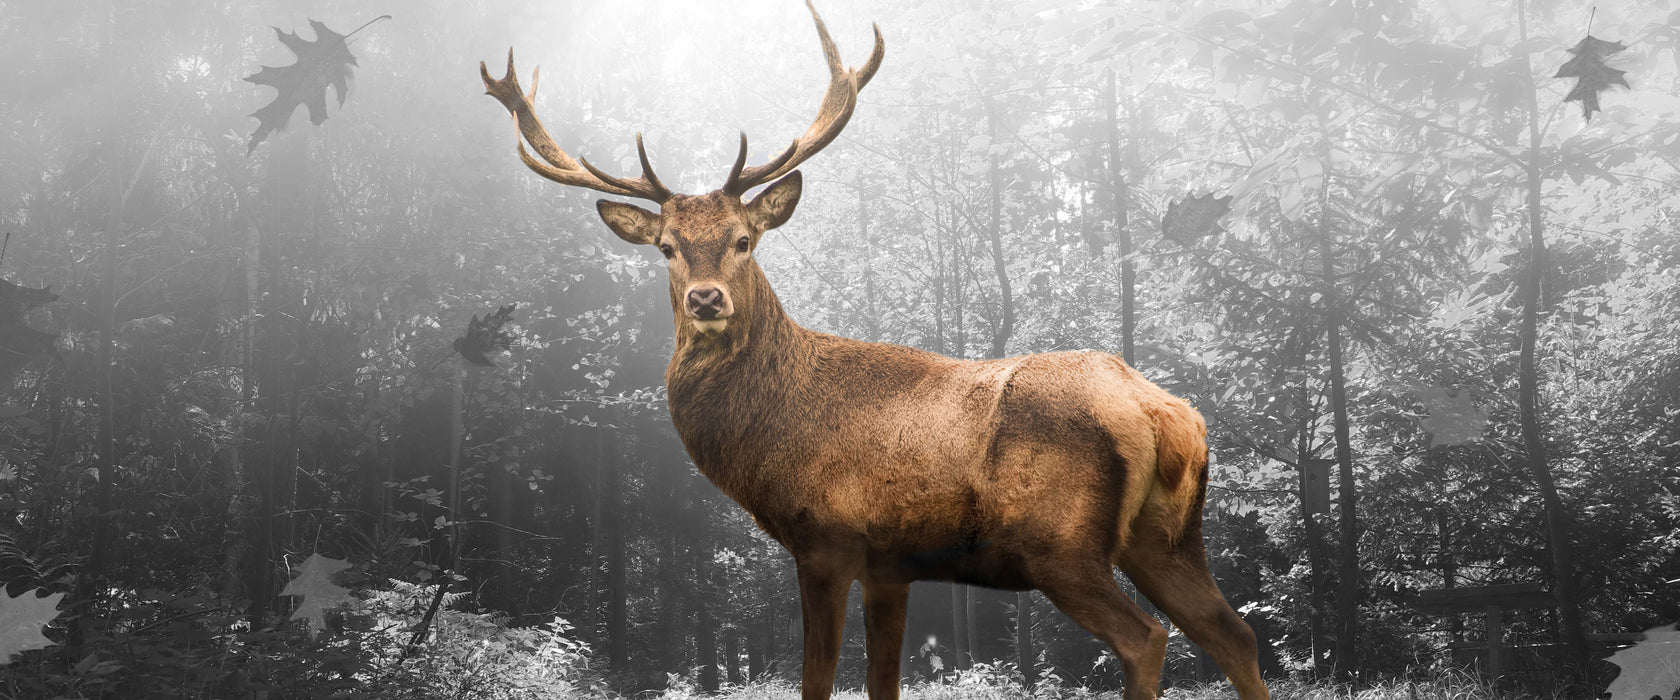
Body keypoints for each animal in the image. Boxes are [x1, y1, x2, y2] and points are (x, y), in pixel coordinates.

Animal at [487, 2, 1270, 694]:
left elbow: (818, 679)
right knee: (1234, 632)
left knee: (1146, 639)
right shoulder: (892, 565)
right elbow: (882, 681)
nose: (706, 299)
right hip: (1166, 536)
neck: (768, 435)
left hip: (1061, 541)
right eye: (668, 248)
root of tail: (1166, 414)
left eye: (744, 240)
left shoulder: (826, 538)